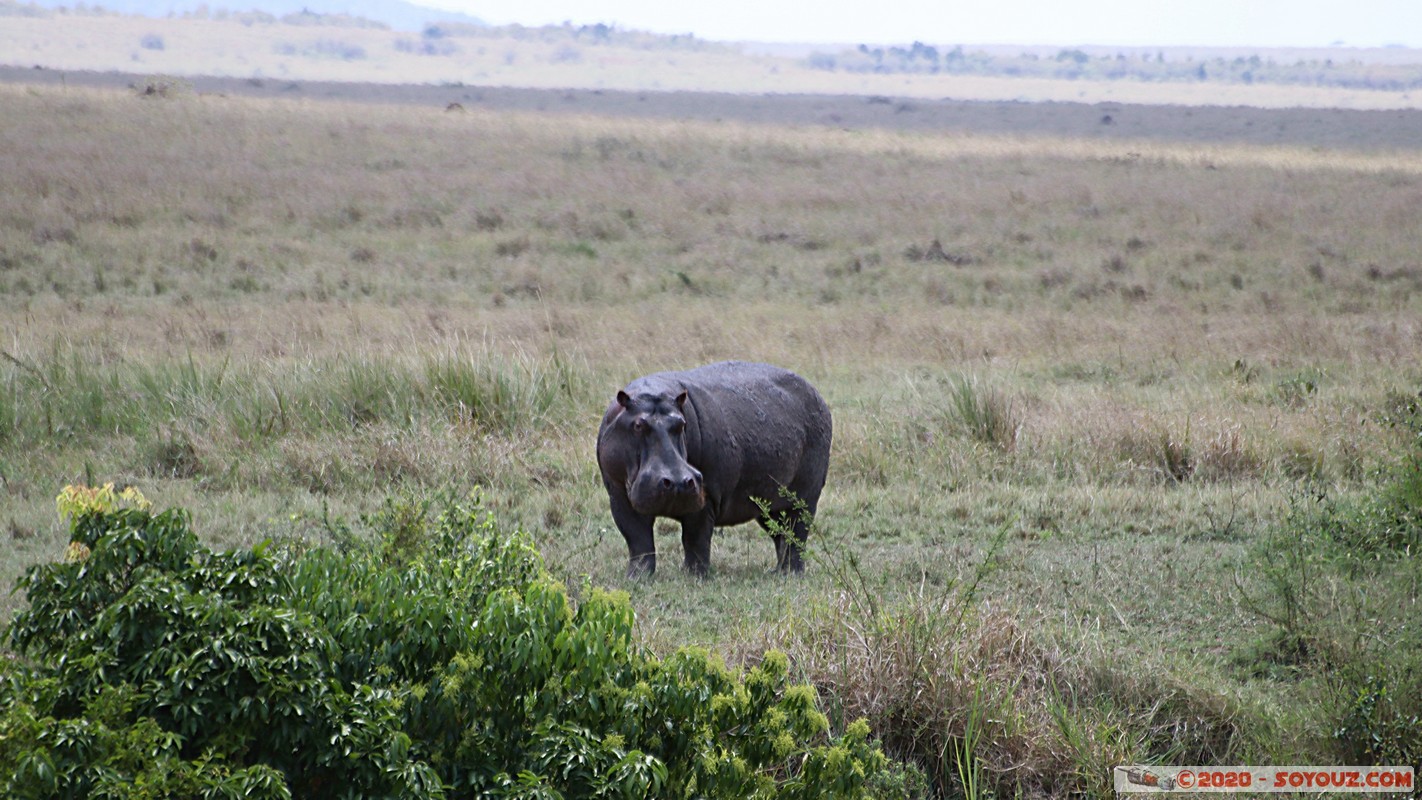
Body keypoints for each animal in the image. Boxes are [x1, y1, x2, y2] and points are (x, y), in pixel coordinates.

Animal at [596, 361, 832, 578]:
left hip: (804, 497)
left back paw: (791, 574)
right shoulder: (617, 495)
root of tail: (816, 393)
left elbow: (695, 539)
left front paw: (694, 577)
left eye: (682, 424)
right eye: (638, 425)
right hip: (767, 504)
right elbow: (638, 540)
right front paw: (637, 578)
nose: (678, 481)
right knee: (780, 532)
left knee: (797, 531)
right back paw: (776, 572)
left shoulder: (706, 496)